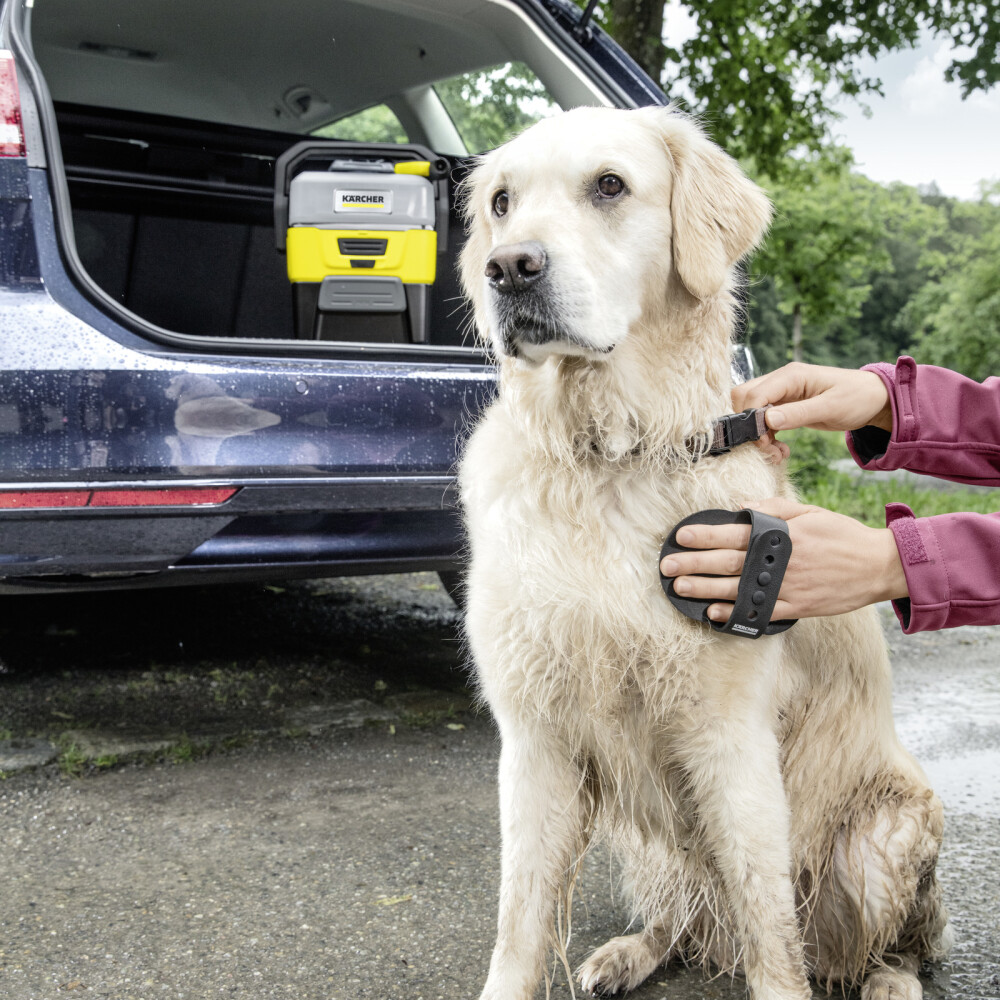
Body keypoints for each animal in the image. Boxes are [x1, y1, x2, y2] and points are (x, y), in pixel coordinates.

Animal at [458, 103, 948, 1000]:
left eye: (609, 186)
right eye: (502, 203)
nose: (509, 269)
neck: (609, 457)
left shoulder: (730, 737)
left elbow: (769, 926)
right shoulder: (535, 736)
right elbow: (520, 921)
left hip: (884, 838)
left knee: (885, 944)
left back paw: (890, 981)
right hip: (647, 836)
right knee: (686, 915)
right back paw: (628, 953)